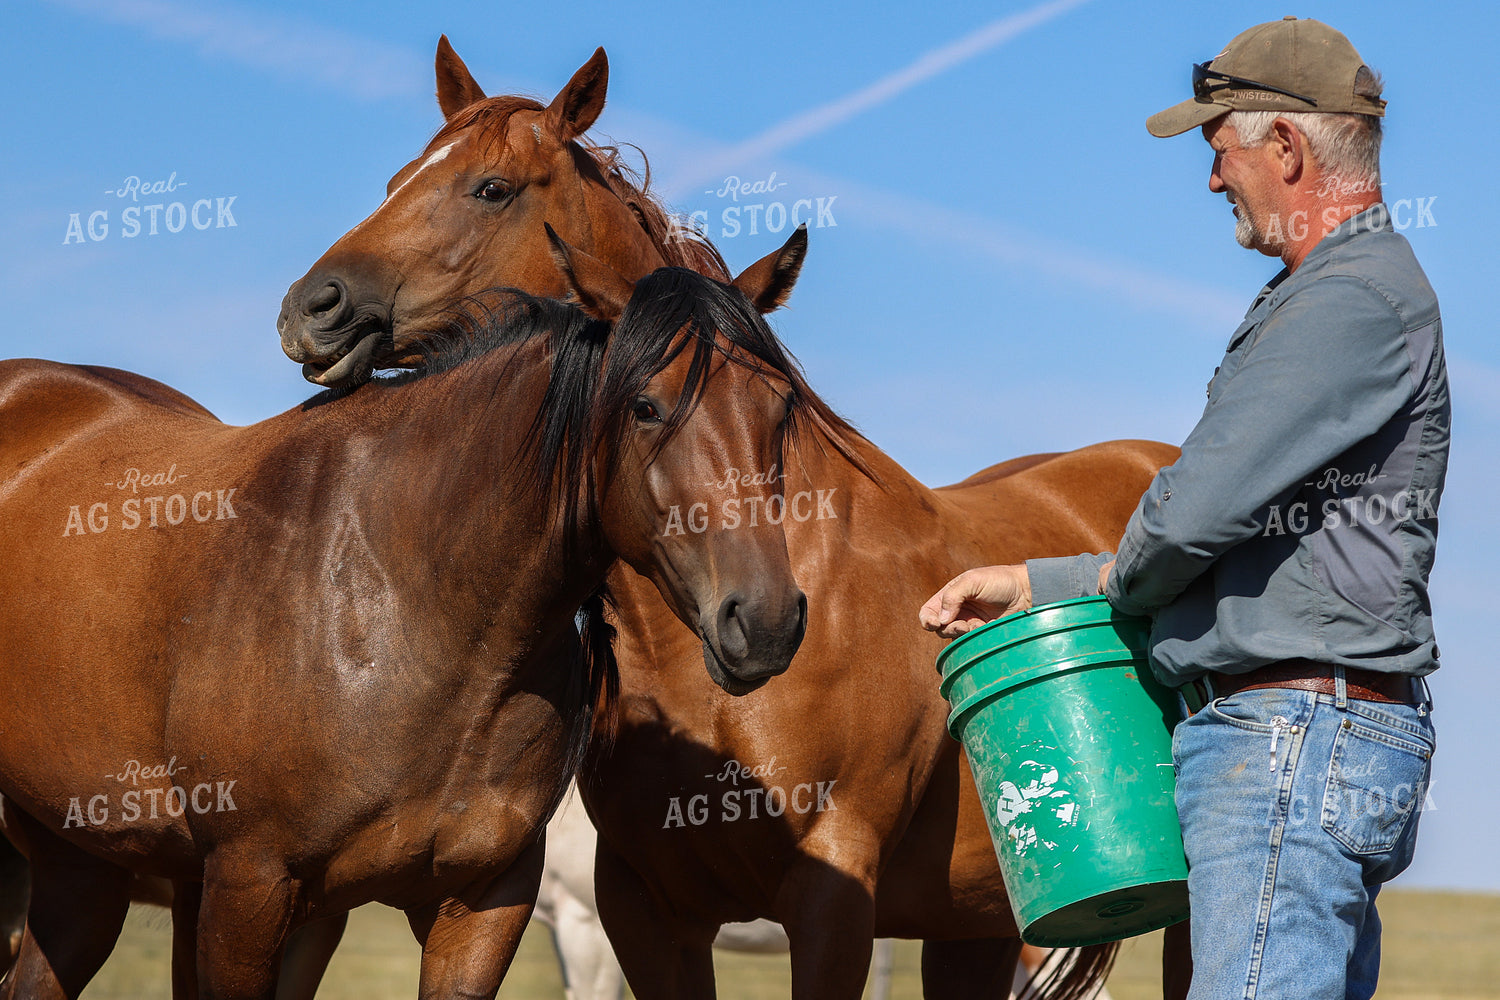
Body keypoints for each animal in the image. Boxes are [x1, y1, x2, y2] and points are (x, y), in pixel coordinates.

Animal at [0, 229, 813, 1000]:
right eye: (645, 407)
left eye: (781, 409)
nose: (767, 621)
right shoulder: (245, 890)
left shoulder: (481, 904)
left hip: (81, 866)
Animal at [269, 37, 1193, 1000]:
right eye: (396, 179)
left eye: (490, 188)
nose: (312, 307)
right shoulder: (646, 912)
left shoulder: (831, 899)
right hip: (973, 927)